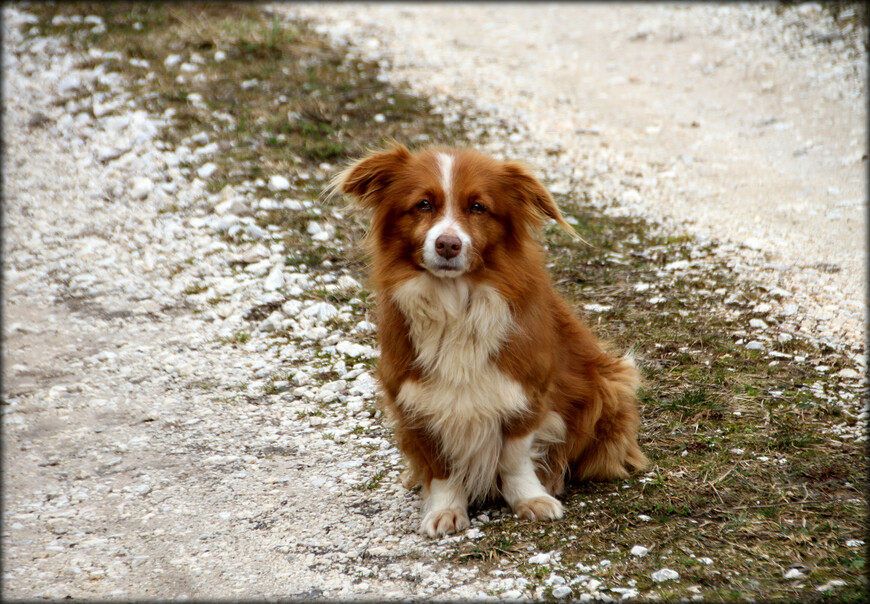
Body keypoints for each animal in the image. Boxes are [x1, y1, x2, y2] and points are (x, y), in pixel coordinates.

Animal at [338, 143, 652, 536]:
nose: (448, 244)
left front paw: (530, 499)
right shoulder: (413, 398)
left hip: (609, 382)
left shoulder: (525, 389)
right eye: (423, 204)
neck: (455, 303)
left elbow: (514, 456)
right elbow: (440, 467)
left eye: (478, 207)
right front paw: (445, 509)